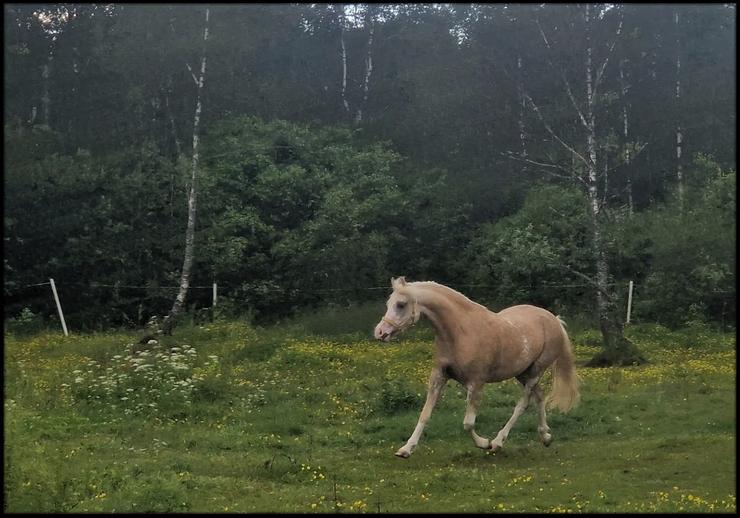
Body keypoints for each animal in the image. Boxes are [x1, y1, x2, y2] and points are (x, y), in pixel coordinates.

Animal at [376, 278, 580, 462]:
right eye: (388, 303)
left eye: (401, 304)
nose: (380, 333)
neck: (460, 331)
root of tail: (554, 319)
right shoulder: (439, 376)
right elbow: (425, 414)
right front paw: (405, 450)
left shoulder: (476, 382)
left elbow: (468, 423)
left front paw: (484, 443)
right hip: (522, 373)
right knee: (539, 396)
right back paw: (545, 436)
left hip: (535, 372)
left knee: (523, 403)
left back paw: (498, 442)